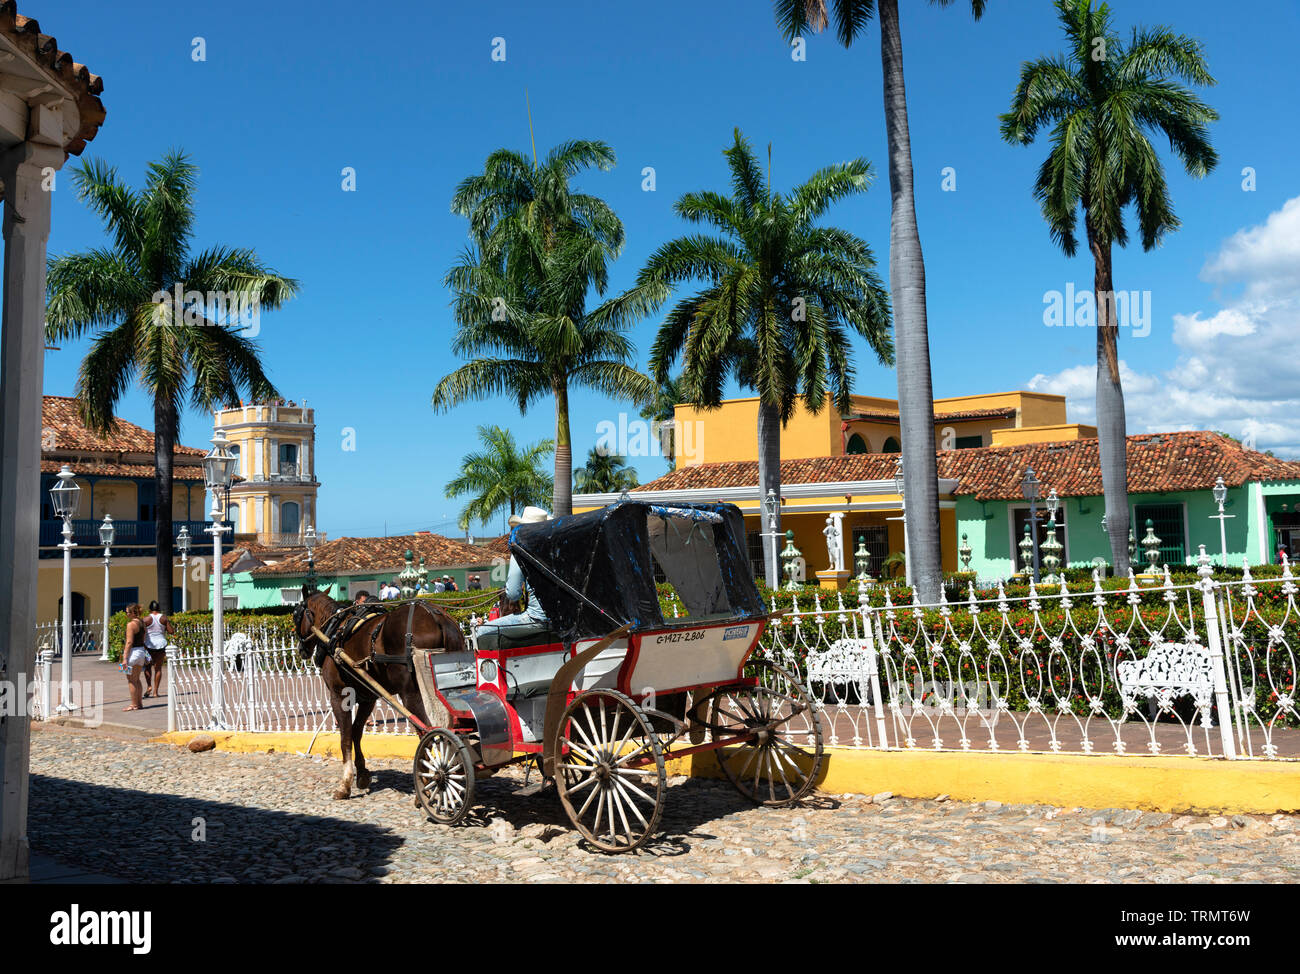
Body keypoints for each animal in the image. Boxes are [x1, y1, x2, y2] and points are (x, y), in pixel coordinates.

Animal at [292, 585, 465, 795]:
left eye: (296, 614)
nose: (301, 649)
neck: (335, 630)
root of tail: (437, 617)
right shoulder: (368, 697)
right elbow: (356, 732)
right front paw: (362, 774)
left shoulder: (339, 695)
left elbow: (345, 736)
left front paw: (345, 783)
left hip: (411, 695)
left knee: (428, 733)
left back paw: (429, 783)